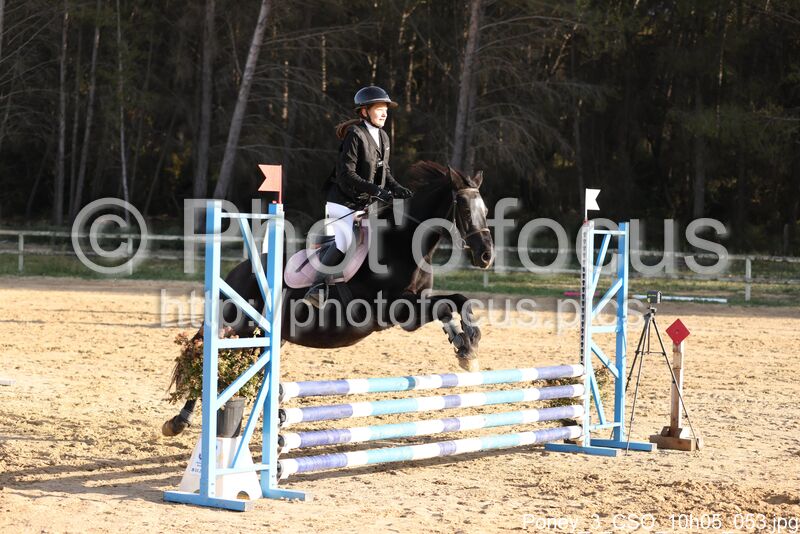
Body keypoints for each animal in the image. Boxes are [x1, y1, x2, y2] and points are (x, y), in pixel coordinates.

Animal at [162, 161, 495, 436]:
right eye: (466, 212)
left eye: (486, 211)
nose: (485, 256)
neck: (403, 246)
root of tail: (236, 272)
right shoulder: (397, 310)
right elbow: (446, 306)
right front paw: (466, 346)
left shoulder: (413, 310)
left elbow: (456, 303)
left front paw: (467, 345)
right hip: (236, 327)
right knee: (205, 358)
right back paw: (178, 422)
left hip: (264, 339)